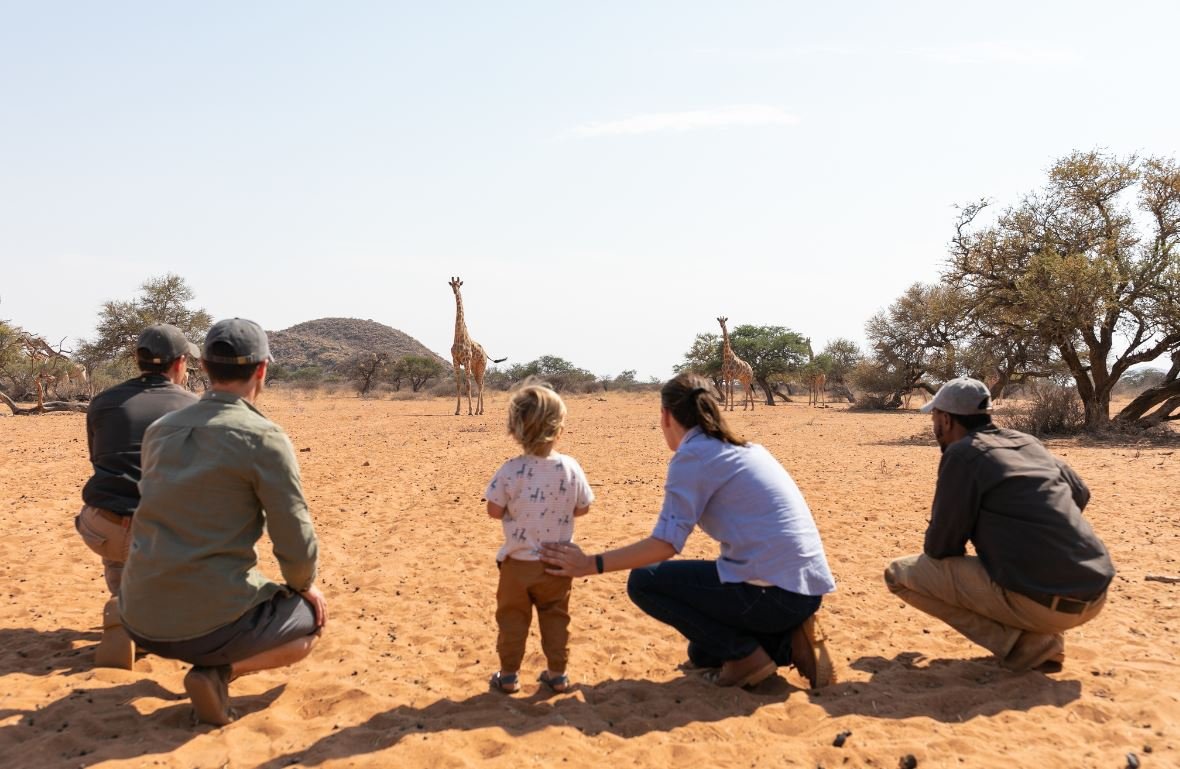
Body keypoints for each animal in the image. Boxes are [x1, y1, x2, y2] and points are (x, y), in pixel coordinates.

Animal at [448, 278, 505, 415]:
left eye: (459, 285)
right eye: (452, 285)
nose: (455, 290)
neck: (459, 336)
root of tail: (486, 354)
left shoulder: (466, 360)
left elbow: (468, 385)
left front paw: (469, 410)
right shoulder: (455, 360)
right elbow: (458, 385)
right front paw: (457, 411)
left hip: (481, 366)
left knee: (480, 385)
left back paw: (478, 410)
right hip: (475, 367)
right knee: (480, 384)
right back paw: (480, 410)